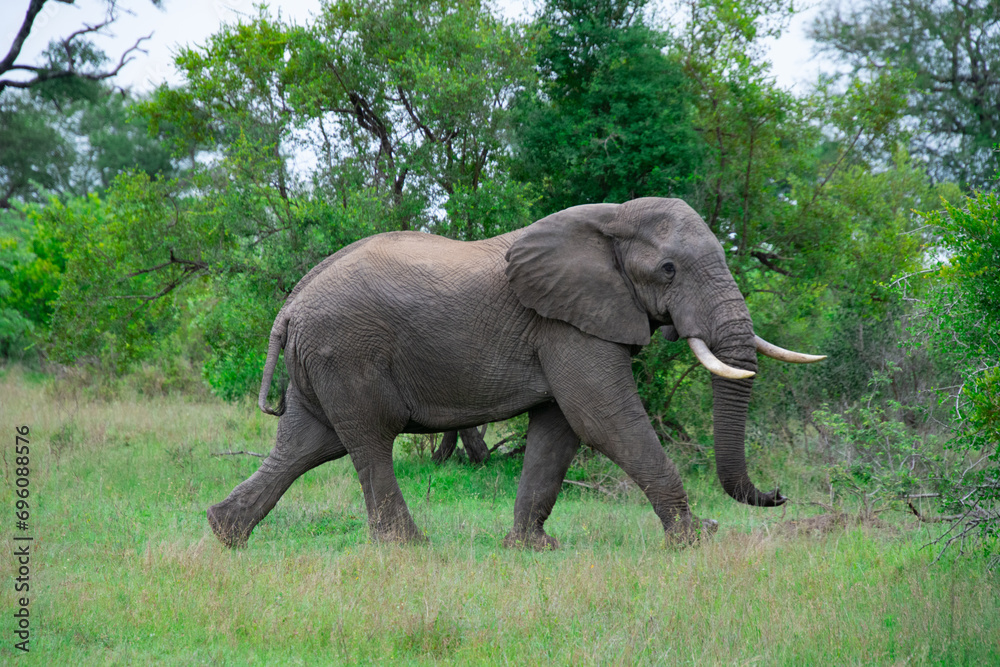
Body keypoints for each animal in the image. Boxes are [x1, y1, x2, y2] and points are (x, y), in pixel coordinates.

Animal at [207, 197, 824, 548]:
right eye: (669, 270)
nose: (779, 494)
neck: (610, 218)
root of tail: (289, 306)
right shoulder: (567, 325)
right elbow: (605, 420)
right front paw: (698, 540)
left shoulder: (565, 324)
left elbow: (559, 431)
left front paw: (530, 548)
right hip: (347, 352)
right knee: (367, 440)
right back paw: (409, 548)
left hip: (321, 360)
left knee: (307, 444)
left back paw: (224, 532)